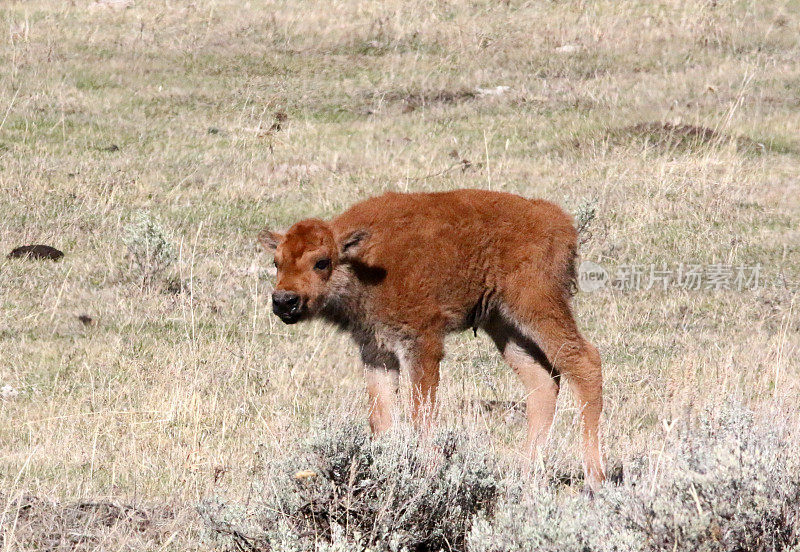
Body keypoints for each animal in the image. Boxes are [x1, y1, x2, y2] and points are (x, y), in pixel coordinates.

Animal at [260, 190, 604, 488]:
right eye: (276, 262)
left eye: (321, 262)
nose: (284, 301)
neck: (363, 262)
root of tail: (560, 221)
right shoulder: (377, 352)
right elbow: (381, 417)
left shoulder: (421, 344)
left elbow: (421, 415)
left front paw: (425, 476)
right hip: (504, 326)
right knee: (543, 382)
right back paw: (526, 475)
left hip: (536, 306)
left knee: (584, 362)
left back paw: (593, 480)